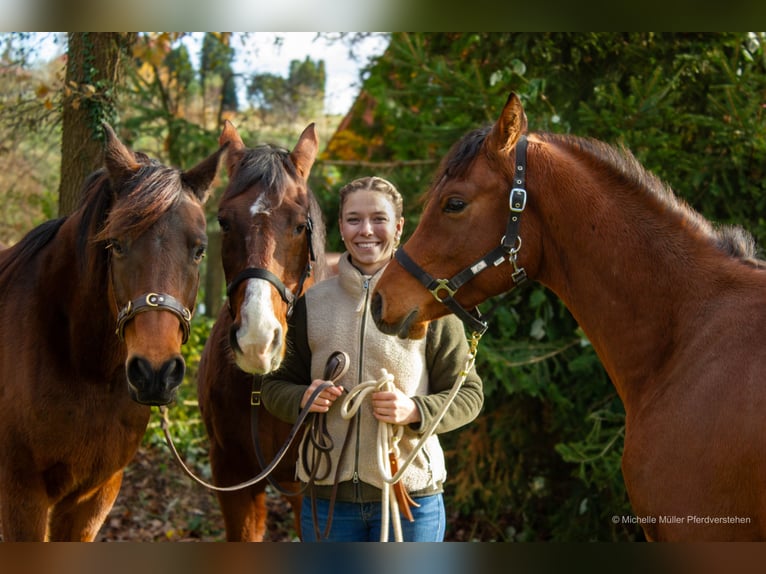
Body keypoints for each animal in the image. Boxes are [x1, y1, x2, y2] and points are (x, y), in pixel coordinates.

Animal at [0, 124, 226, 544]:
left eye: (200, 250)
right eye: (116, 244)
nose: (155, 373)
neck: (84, 368)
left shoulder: (95, 495)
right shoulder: (21, 495)